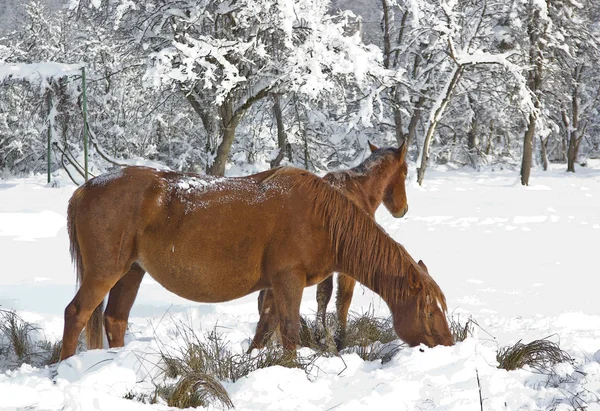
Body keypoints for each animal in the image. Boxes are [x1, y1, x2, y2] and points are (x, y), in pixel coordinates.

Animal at [62, 164, 454, 360]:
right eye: (428, 311)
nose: (449, 346)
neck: (321, 217)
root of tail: (86, 188)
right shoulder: (288, 280)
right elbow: (290, 332)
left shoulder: (273, 287)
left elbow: (265, 329)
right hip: (105, 272)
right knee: (77, 313)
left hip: (131, 272)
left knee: (115, 320)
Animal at [251, 142, 410, 350]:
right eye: (405, 172)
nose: (403, 209)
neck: (362, 190)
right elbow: (343, 298)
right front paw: (339, 339)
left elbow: (323, 296)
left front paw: (321, 335)